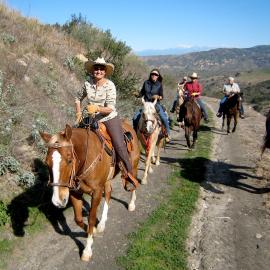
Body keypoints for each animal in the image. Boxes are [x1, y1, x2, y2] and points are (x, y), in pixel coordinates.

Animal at [41, 120, 141, 262]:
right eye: (46, 163)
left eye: (69, 160)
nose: (58, 201)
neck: (85, 158)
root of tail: (127, 123)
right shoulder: (75, 193)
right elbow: (78, 219)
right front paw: (93, 231)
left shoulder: (97, 192)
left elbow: (91, 219)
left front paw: (87, 250)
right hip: (107, 179)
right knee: (109, 192)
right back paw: (102, 224)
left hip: (133, 165)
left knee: (133, 183)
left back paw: (131, 204)